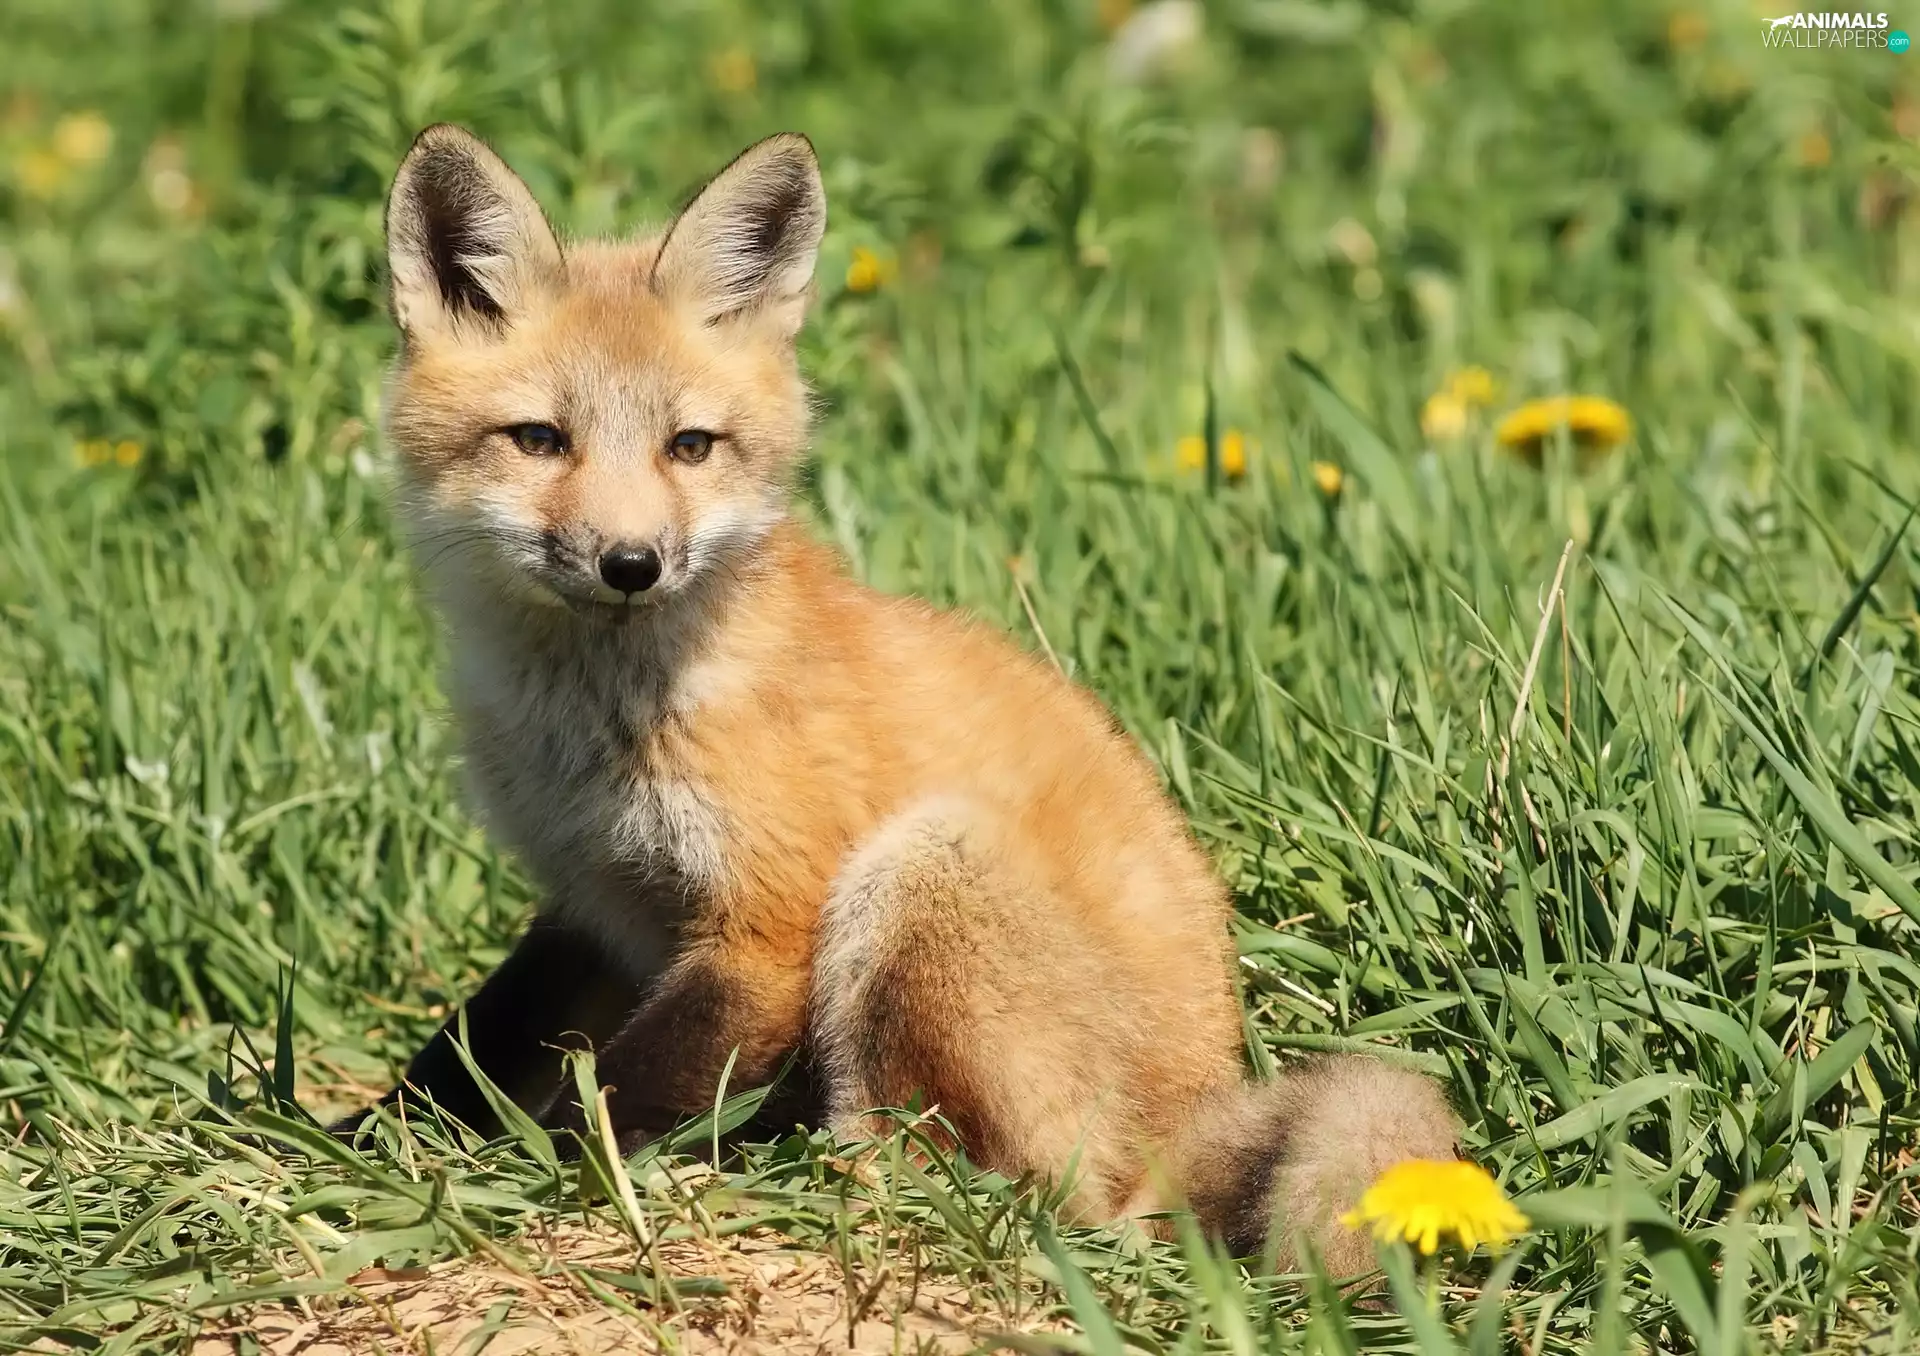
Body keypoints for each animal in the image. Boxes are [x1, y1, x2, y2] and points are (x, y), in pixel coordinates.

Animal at [339, 122, 1463, 1274]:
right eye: (539, 439)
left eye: (689, 447)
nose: (632, 563)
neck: (592, 726)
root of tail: (1196, 1113)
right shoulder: (591, 903)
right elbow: (461, 1050)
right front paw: (349, 1140)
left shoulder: (766, 922)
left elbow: (610, 1093)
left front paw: (533, 1171)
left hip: (920, 871)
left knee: (974, 1184)